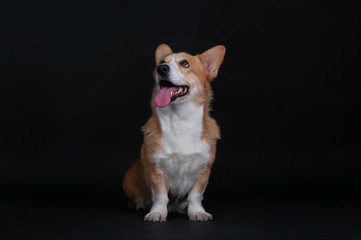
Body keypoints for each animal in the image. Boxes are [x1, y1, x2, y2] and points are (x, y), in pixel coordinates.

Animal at [122, 44, 224, 222]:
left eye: (185, 64)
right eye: (162, 62)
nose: (161, 69)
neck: (180, 121)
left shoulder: (203, 170)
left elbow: (196, 195)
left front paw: (197, 212)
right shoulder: (156, 170)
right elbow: (160, 196)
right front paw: (157, 213)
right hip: (128, 181)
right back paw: (142, 204)